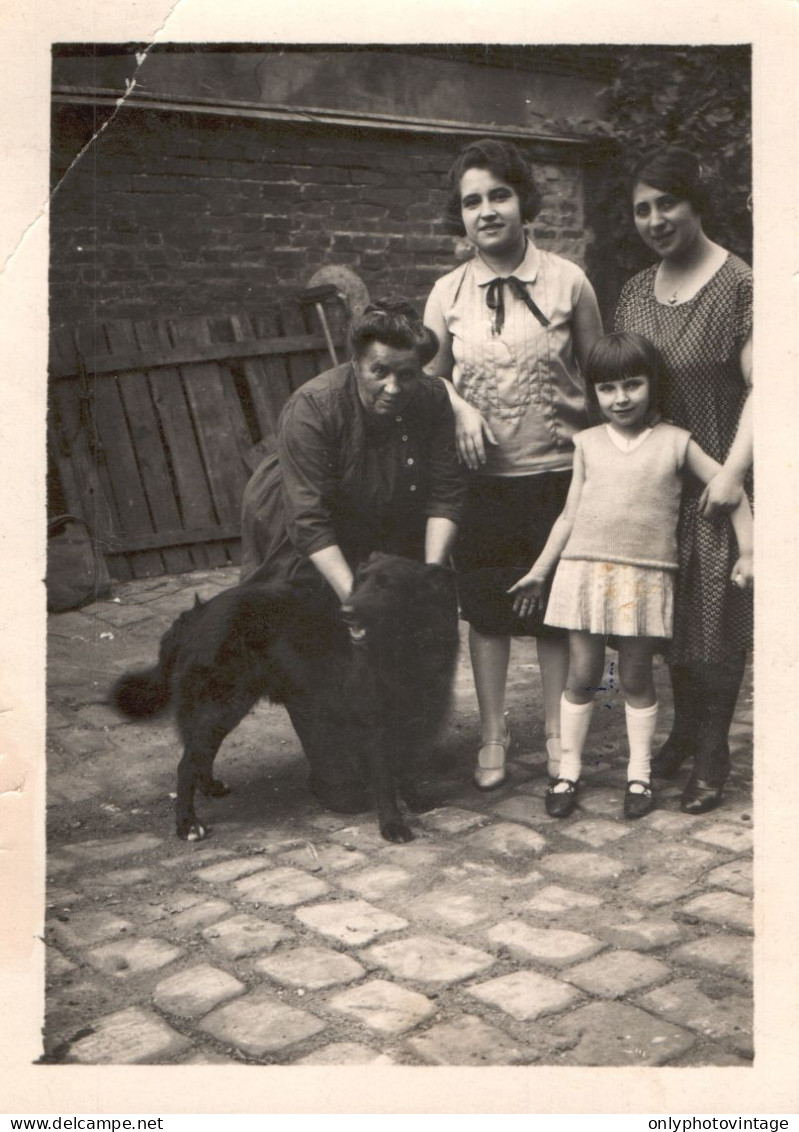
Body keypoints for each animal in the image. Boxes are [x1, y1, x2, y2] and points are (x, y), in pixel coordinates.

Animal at [109, 552, 457, 846]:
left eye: (388, 586)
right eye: (360, 582)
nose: (346, 613)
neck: (403, 647)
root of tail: (195, 613)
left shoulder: (416, 715)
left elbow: (408, 766)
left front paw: (416, 801)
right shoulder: (373, 723)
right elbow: (385, 778)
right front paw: (392, 825)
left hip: (224, 708)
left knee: (198, 753)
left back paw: (209, 788)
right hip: (221, 705)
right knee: (185, 764)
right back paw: (187, 825)